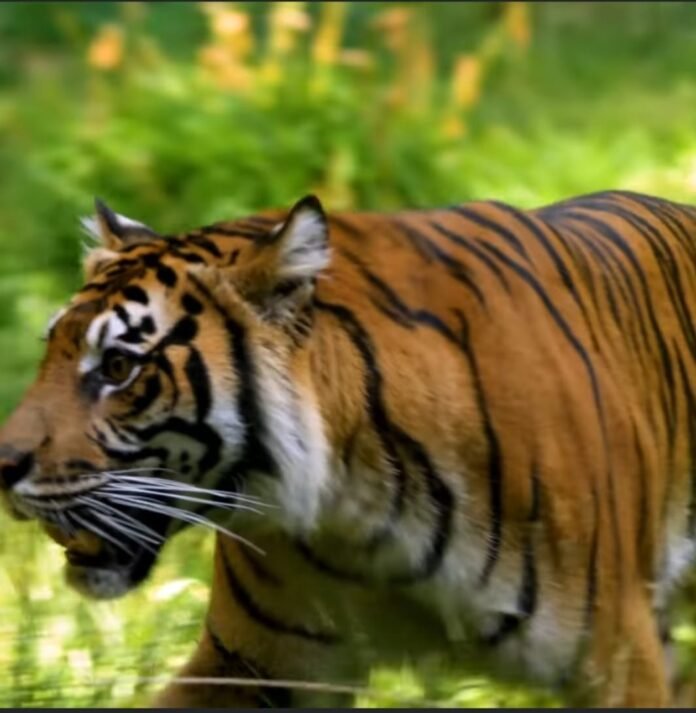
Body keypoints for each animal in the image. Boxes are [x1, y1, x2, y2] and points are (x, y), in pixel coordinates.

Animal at [0, 189, 694, 708]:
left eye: (118, 367)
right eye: (51, 351)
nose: (1, 465)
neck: (359, 510)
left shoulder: (616, 658)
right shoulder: (253, 663)